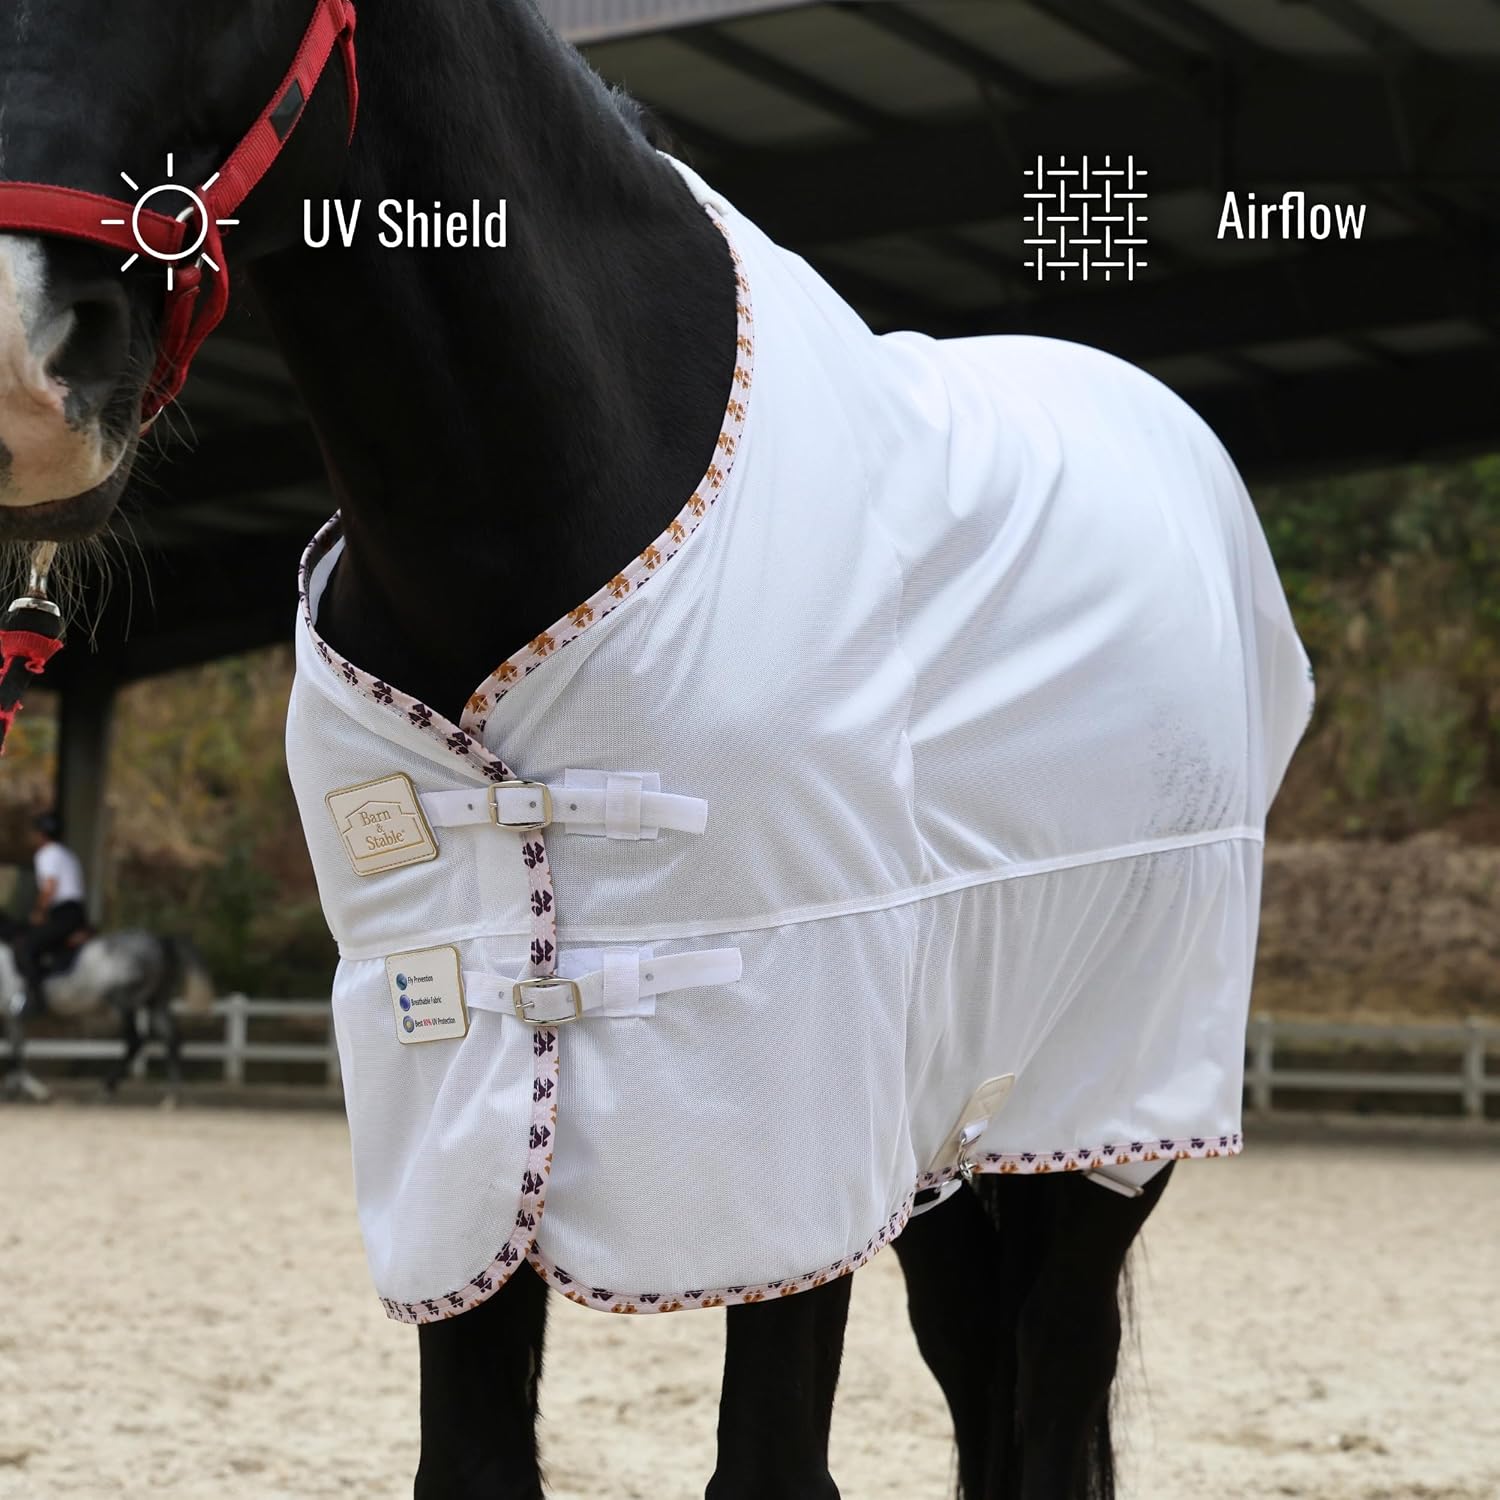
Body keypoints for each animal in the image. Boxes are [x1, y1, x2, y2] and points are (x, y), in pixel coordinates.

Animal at [0, 925, 215, 1102]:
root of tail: (159, 942)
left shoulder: (12, 1017)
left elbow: (15, 1054)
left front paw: (33, 1090)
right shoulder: (10, 1019)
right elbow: (14, 1053)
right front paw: (17, 1088)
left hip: (123, 1001)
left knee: (135, 1040)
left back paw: (107, 1088)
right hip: (155, 1002)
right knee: (171, 1039)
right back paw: (172, 1096)